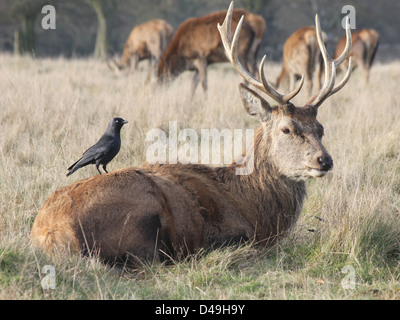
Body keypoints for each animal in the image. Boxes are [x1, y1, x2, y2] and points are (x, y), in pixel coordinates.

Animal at [29, 2, 352, 268]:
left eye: (321, 128)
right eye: (287, 128)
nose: (324, 160)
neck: (253, 204)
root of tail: (49, 233)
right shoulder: (233, 233)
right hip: (139, 209)